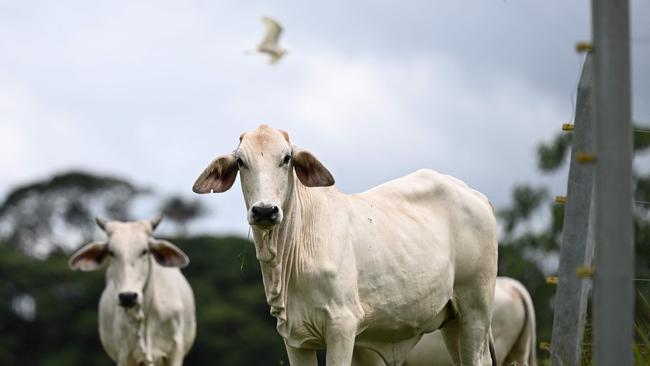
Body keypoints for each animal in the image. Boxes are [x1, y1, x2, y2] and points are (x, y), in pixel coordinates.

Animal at [192, 126, 496, 366]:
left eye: (286, 158)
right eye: (241, 161)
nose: (265, 210)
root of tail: (475, 194)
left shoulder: (342, 326)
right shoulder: (295, 338)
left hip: (475, 309)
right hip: (452, 320)